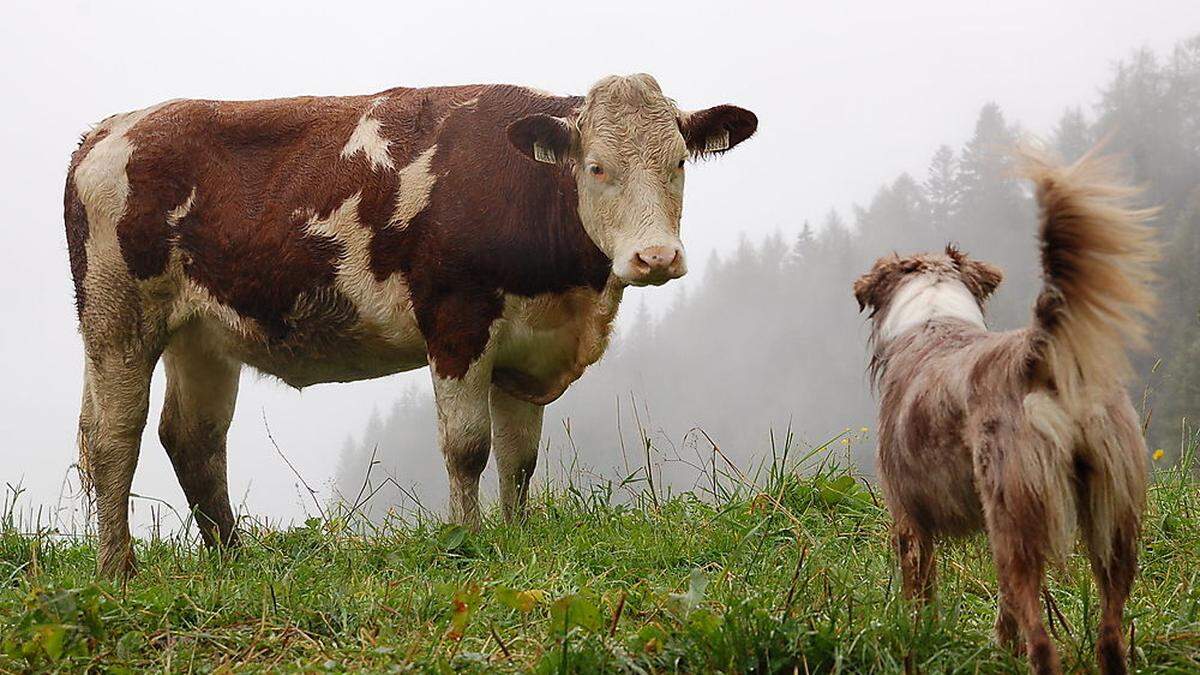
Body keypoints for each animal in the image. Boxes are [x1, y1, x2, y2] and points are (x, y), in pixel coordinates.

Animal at [63, 74, 758, 578]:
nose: (656, 258)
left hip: (202, 336)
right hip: (117, 317)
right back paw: (118, 570)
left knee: (193, 437)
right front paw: (468, 542)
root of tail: (110, 128)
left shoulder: (524, 347)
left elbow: (521, 457)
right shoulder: (456, 321)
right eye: (596, 167)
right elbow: (468, 447)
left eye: (679, 163)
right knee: (112, 438)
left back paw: (233, 560)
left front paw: (518, 536)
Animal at [849, 148, 1156, 672]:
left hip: (1013, 510)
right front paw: (999, 645)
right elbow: (1005, 605)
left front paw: (918, 639)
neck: (933, 316)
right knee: (1109, 634)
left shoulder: (908, 515)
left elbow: (919, 596)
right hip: (1113, 517)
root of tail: (1041, 354)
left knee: (1044, 641)